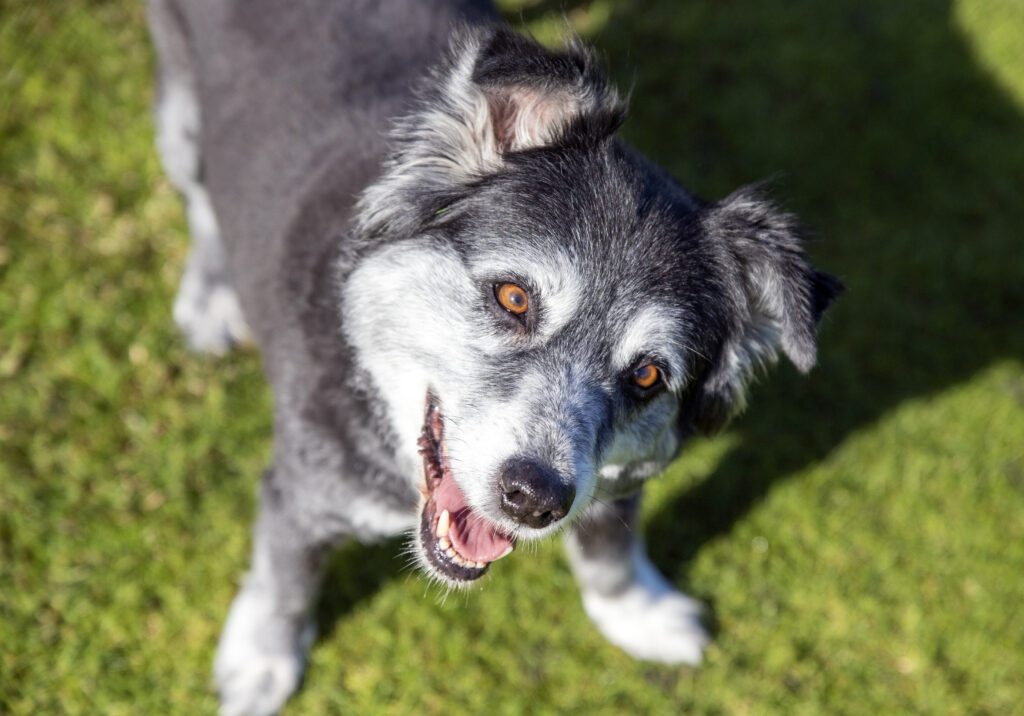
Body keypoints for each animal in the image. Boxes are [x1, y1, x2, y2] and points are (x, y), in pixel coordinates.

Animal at [147, 1, 842, 713]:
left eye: (648, 375)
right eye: (513, 297)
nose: (534, 500)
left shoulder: (614, 475)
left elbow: (612, 544)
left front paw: (637, 613)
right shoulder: (302, 491)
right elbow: (285, 578)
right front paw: (261, 660)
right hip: (180, 118)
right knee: (200, 196)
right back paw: (209, 293)